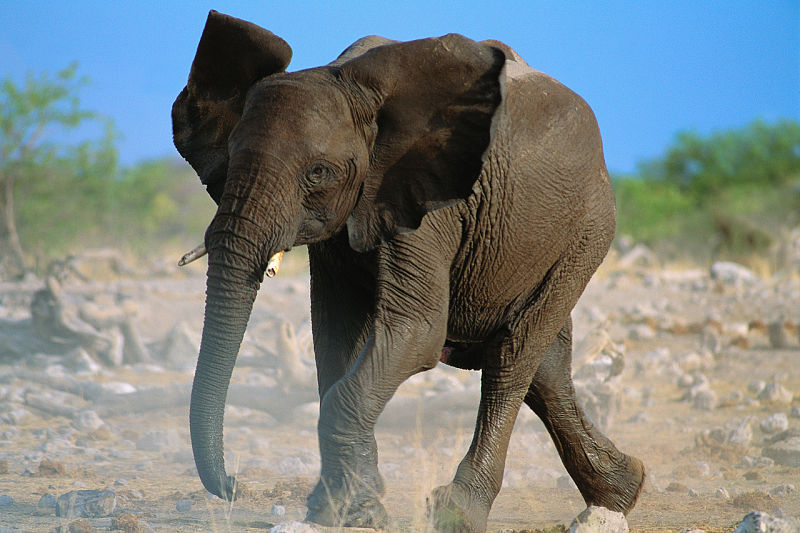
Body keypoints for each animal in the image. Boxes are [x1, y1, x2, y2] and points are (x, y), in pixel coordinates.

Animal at [170, 10, 644, 528]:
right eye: (231, 156)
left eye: (318, 173)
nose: (234, 485)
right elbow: (335, 335)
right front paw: (344, 508)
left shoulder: (428, 202)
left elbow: (416, 331)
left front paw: (355, 510)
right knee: (546, 365)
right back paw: (621, 492)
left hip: (586, 231)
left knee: (512, 356)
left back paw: (459, 514)